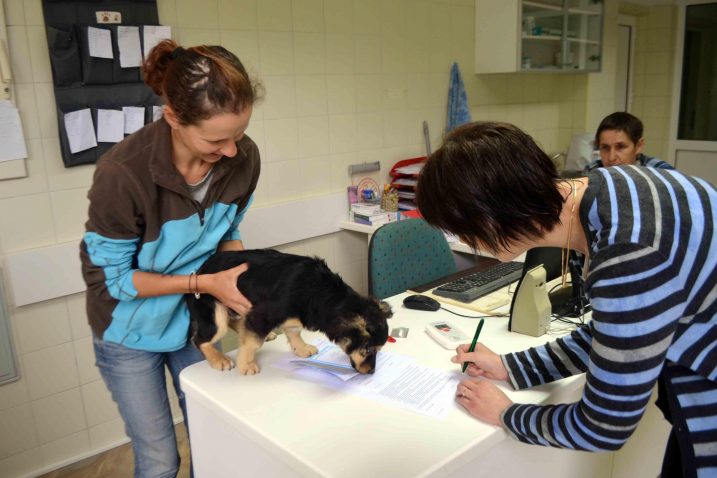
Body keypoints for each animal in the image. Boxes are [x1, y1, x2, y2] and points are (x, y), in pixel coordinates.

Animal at [185, 248, 392, 376]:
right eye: (368, 349)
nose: (372, 372)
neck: (321, 293)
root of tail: (199, 272)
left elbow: (294, 331)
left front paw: (301, 349)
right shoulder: (262, 315)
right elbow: (252, 343)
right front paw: (246, 365)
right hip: (215, 312)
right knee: (199, 339)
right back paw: (218, 359)